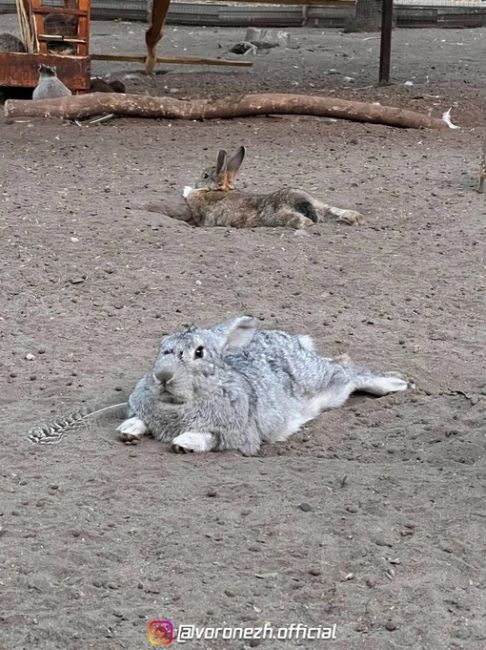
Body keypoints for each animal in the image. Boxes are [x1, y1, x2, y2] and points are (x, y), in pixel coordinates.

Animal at [118, 316, 410, 454]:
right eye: (161, 348)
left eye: (199, 352)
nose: (163, 376)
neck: (178, 403)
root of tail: (297, 342)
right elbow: (140, 419)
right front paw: (127, 430)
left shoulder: (239, 432)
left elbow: (210, 436)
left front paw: (184, 442)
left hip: (323, 383)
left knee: (346, 370)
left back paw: (396, 383)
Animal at [182, 145, 364, 228]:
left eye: (205, 176)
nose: (197, 183)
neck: (219, 189)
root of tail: (299, 202)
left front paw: (186, 189)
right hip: (318, 204)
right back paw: (355, 218)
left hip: (277, 216)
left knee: (301, 221)